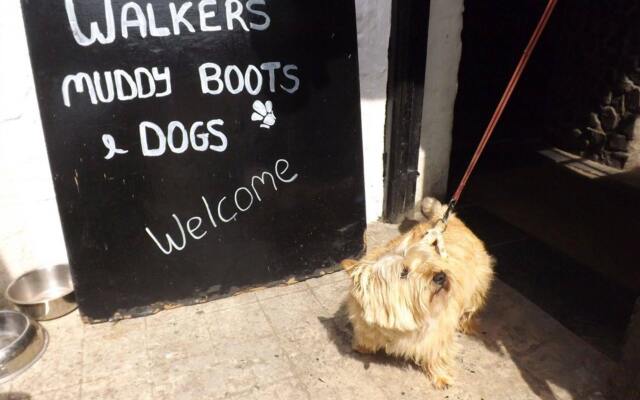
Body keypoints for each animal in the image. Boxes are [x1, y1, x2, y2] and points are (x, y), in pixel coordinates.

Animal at [342, 198, 492, 390]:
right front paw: (363, 346)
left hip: (477, 283)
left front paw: (441, 376)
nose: (441, 276)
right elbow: (366, 334)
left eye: (429, 260)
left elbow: (437, 352)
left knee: (470, 309)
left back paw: (468, 324)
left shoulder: (438, 331)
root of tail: (448, 218)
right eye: (403, 272)